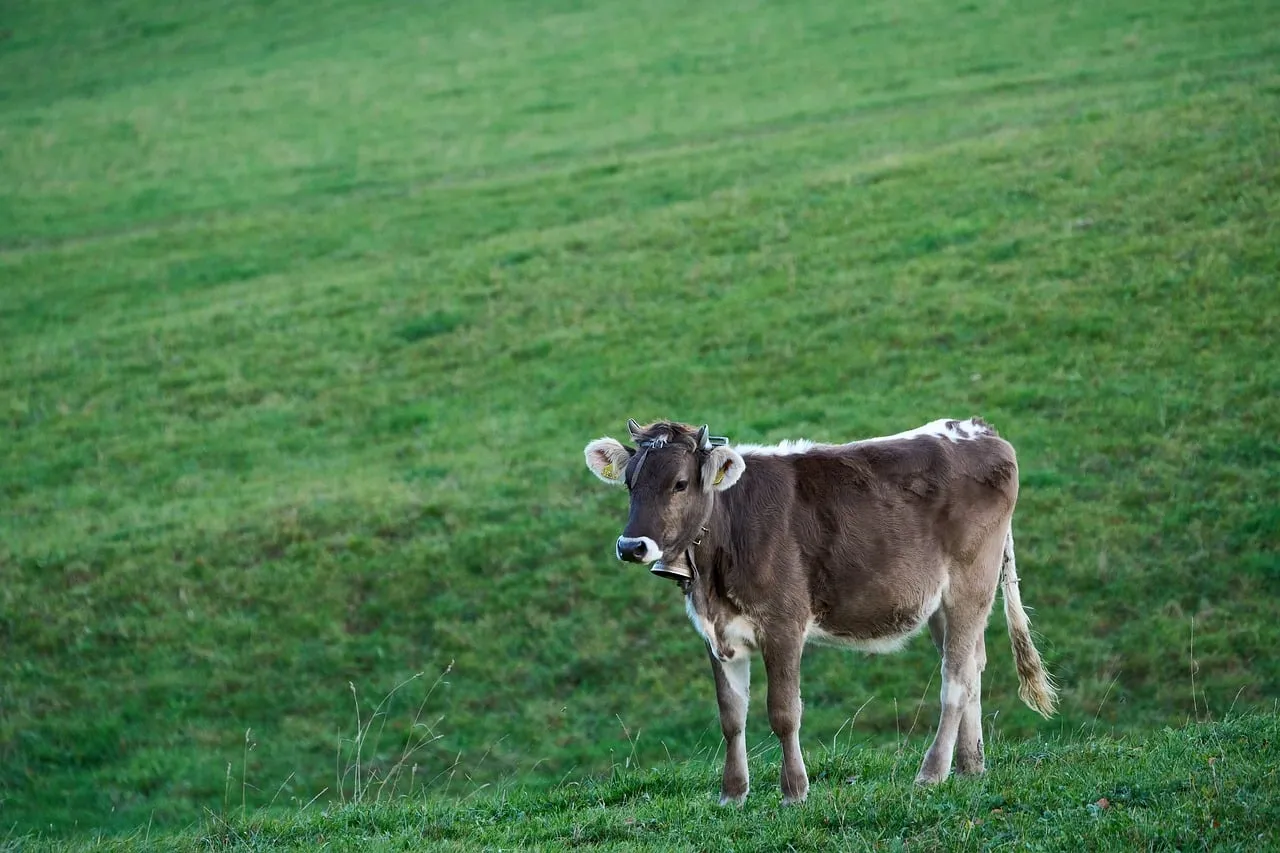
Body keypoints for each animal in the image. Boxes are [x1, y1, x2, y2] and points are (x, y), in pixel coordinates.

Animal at [583, 417, 1056, 805]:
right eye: (629, 483)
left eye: (680, 483)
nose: (632, 546)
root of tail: (978, 430)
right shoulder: (717, 633)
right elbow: (731, 716)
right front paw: (732, 794)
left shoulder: (784, 624)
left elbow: (783, 711)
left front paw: (794, 791)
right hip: (943, 603)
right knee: (972, 666)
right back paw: (970, 767)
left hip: (970, 584)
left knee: (955, 678)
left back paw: (932, 772)